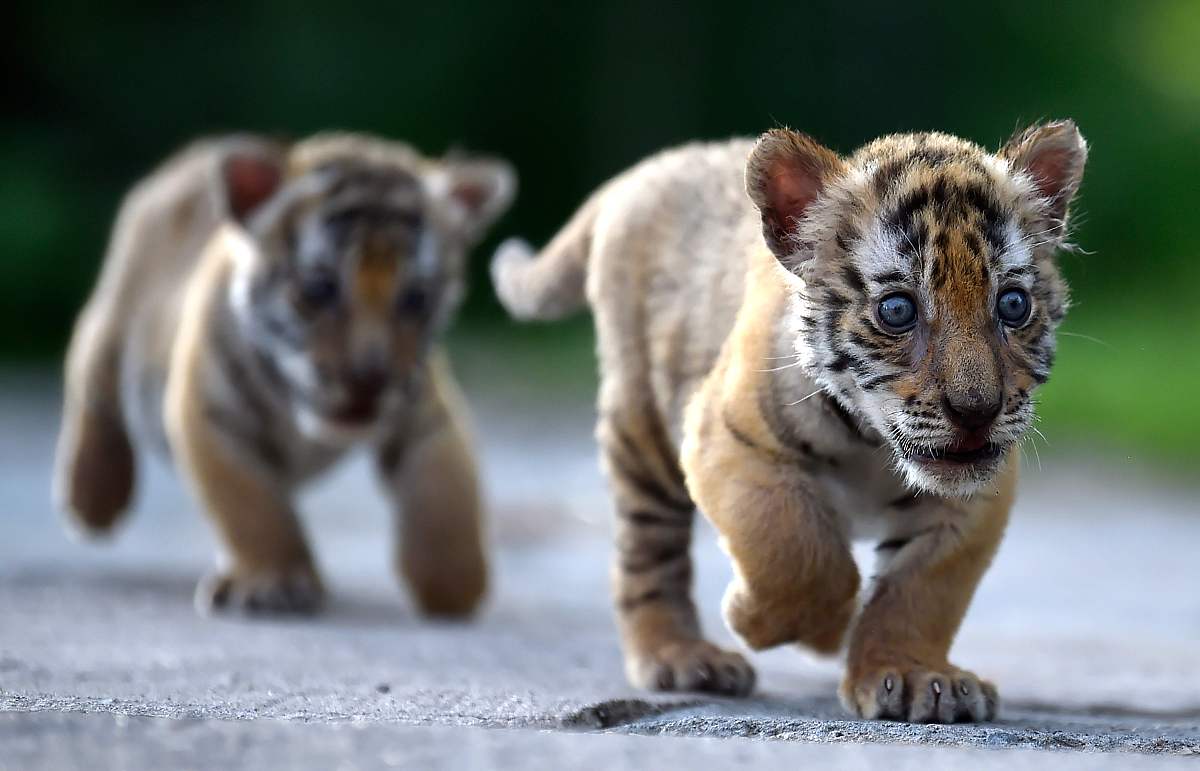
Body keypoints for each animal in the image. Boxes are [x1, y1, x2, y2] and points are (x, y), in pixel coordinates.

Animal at [54, 132, 515, 617]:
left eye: (416, 298)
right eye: (318, 289)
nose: (369, 378)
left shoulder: (423, 412)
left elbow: (445, 492)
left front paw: (454, 584)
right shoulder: (212, 416)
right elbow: (251, 507)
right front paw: (276, 582)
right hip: (114, 314)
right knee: (92, 375)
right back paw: (92, 498)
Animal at [491, 121, 1086, 723]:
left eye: (1013, 305)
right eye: (897, 311)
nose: (977, 411)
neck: (872, 445)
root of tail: (644, 171)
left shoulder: (973, 497)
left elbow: (922, 588)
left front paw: (915, 677)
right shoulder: (727, 442)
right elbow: (800, 554)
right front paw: (784, 624)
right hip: (643, 432)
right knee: (648, 555)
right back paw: (680, 656)